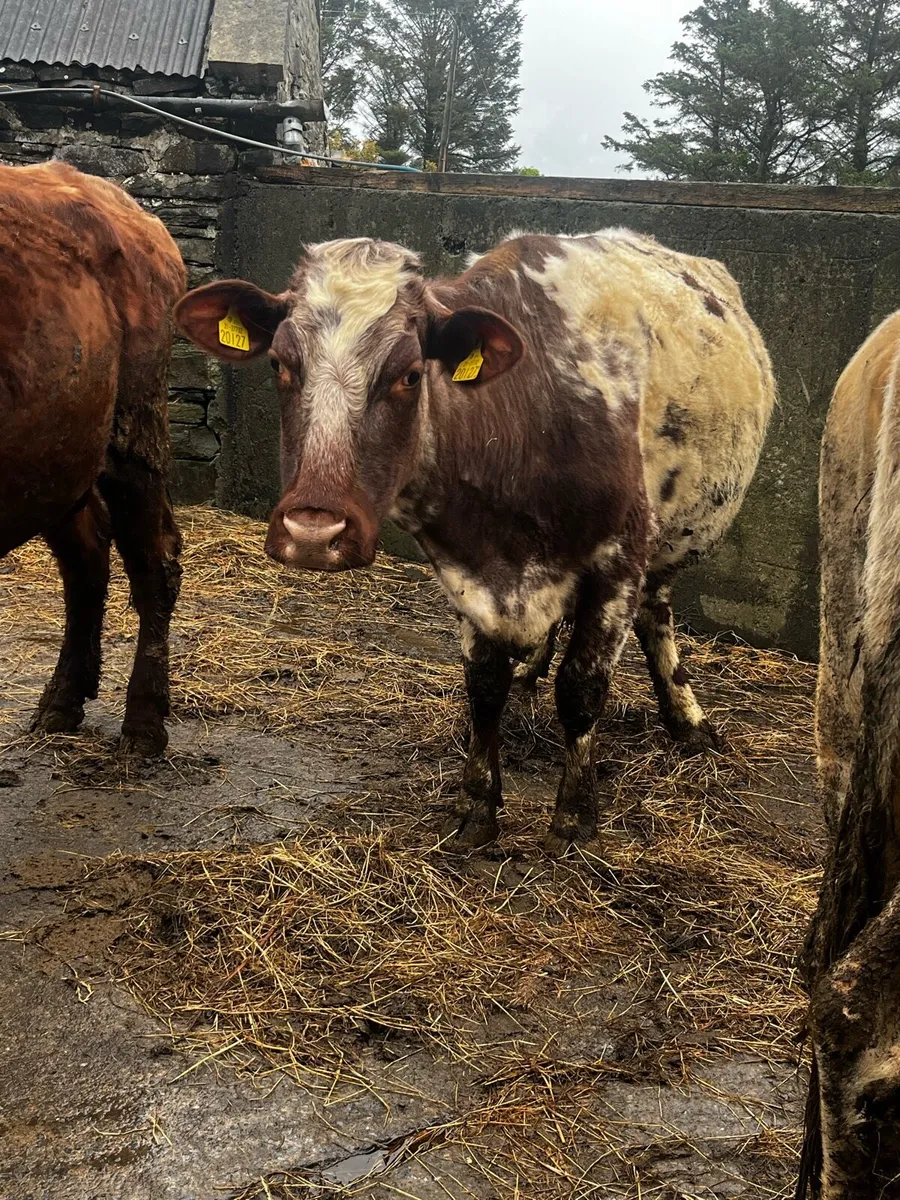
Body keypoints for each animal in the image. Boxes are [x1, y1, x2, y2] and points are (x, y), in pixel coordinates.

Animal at [0, 161, 185, 754]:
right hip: (59, 458)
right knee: (87, 559)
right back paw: (61, 702)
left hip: (133, 438)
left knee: (154, 561)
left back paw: (144, 724)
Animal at [176, 230, 774, 853]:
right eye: (279, 364)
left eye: (411, 374)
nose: (313, 532)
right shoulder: (466, 569)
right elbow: (485, 686)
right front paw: (479, 804)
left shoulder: (619, 561)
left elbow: (582, 688)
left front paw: (573, 817)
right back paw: (533, 674)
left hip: (668, 543)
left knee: (655, 614)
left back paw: (686, 717)